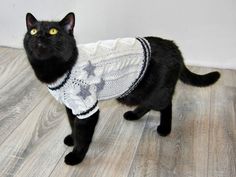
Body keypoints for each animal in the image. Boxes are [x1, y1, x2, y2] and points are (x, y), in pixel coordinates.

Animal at [23, 12, 219, 166]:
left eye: (53, 31)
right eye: (33, 31)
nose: (39, 36)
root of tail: (173, 45)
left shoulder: (87, 108)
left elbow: (83, 135)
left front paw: (76, 156)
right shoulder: (72, 107)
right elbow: (73, 125)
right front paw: (72, 138)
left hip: (154, 92)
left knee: (166, 105)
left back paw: (164, 129)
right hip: (137, 92)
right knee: (149, 105)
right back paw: (133, 115)